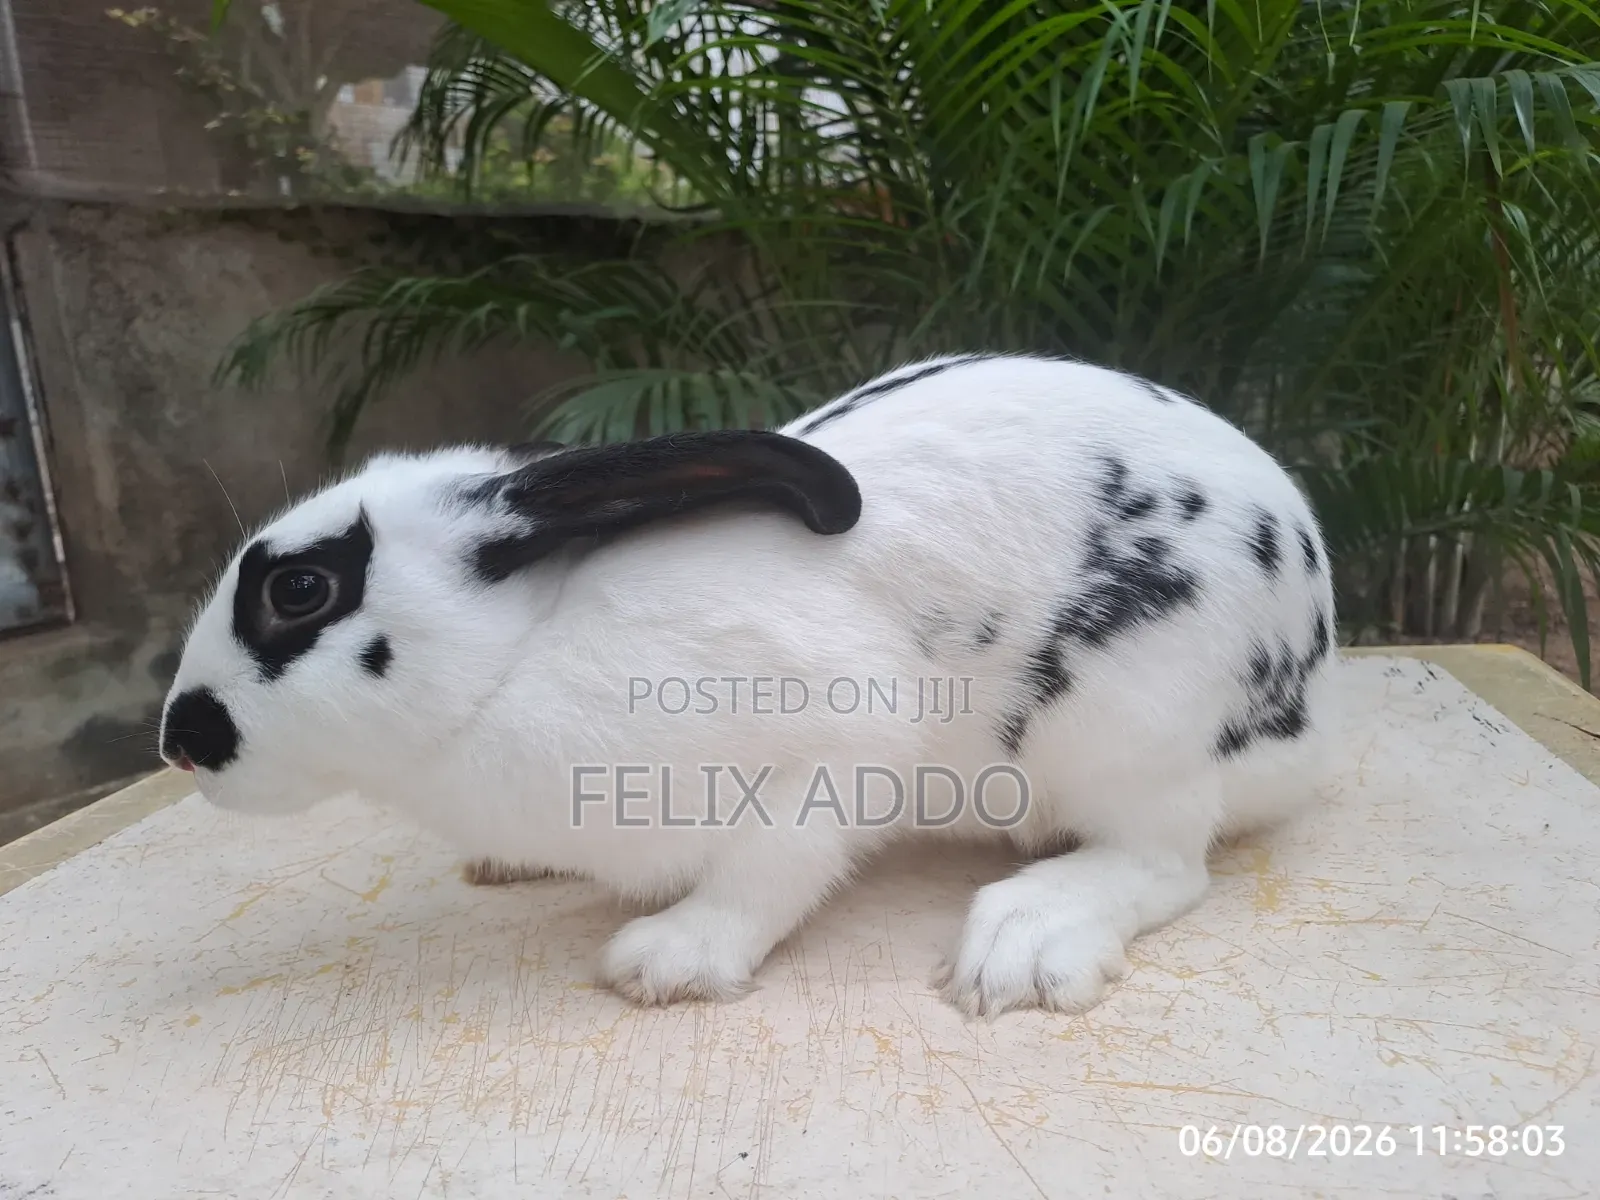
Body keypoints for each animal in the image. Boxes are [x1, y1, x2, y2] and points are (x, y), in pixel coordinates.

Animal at [159, 352, 1338, 1018]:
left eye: (301, 590)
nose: (180, 740)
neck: (517, 655)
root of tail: (1308, 701)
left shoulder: (832, 749)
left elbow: (768, 873)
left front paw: (667, 961)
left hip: (1128, 728)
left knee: (1163, 862)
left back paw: (1025, 944)